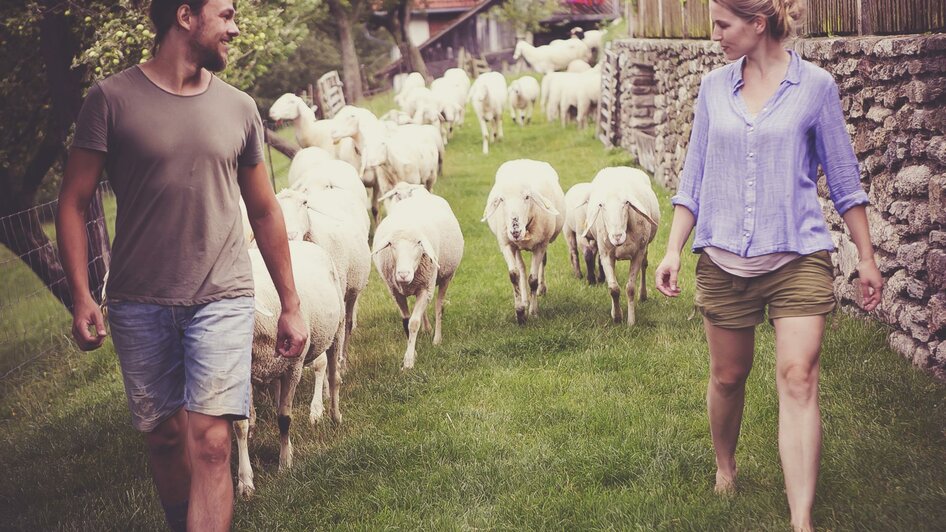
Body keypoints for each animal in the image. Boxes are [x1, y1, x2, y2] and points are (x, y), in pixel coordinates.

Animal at [234, 240, 344, 498]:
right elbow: (241, 426)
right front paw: (245, 481)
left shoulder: (294, 366)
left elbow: (284, 418)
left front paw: (285, 464)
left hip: (337, 329)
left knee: (333, 377)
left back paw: (335, 416)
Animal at [374, 191, 466, 370]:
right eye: (391, 244)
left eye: (419, 243)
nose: (403, 274)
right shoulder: (396, 292)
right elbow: (406, 322)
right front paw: (413, 352)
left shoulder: (425, 288)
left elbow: (414, 323)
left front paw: (409, 361)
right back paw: (427, 328)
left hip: (445, 278)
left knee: (438, 307)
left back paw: (436, 339)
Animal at [484, 158, 564, 324]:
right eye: (501, 199)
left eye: (527, 197)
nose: (515, 231)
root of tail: (524, 160)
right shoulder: (507, 245)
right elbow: (514, 275)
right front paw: (520, 312)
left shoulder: (540, 245)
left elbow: (533, 279)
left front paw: (533, 313)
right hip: (516, 247)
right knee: (521, 269)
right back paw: (525, 300)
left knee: (542, 264)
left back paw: (541, 289)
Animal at [584, 167, 656, 324]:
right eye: (601, 205)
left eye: (627, 203)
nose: (616, 237)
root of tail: (619, 168)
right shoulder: (605, 254)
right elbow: (613, 289)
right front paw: (617, 317)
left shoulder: (638, 253)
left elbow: (630, 288)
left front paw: (631, 321)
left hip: (645, 247)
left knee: (644, 266)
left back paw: (643, 295)